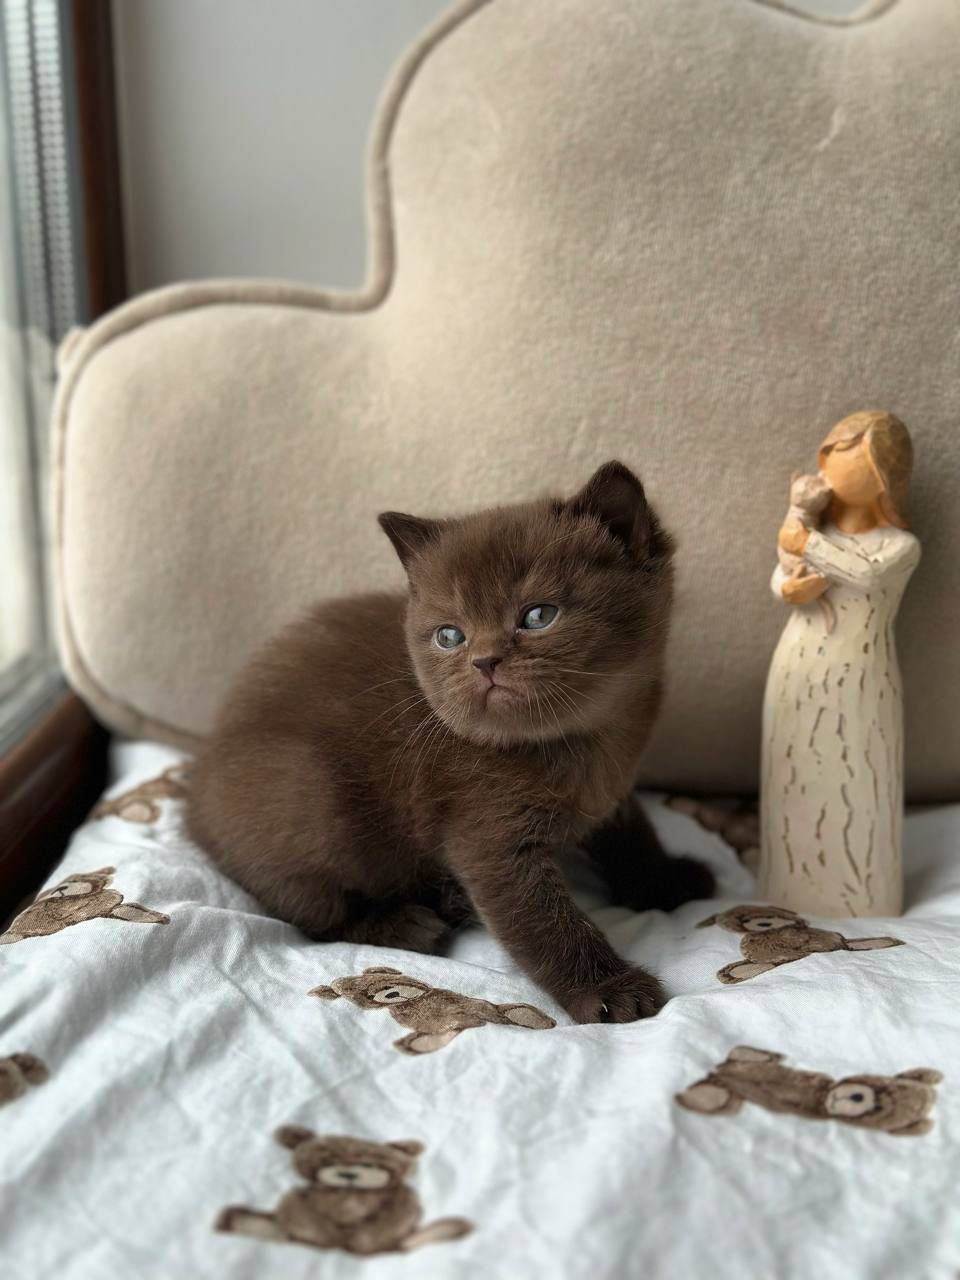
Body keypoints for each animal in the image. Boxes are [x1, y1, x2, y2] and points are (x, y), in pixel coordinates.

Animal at [187, 461, 713, 1023]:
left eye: (538, 616)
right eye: (450, 636)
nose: (483, 661)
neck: (583, 740)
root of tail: (196, 801)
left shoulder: (611, 791)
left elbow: (633, 835)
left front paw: (666, 880)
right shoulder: (488, 837)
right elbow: (544, 922)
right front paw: (610, 989)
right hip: (313, 802)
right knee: (309, 908)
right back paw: (405, 922)